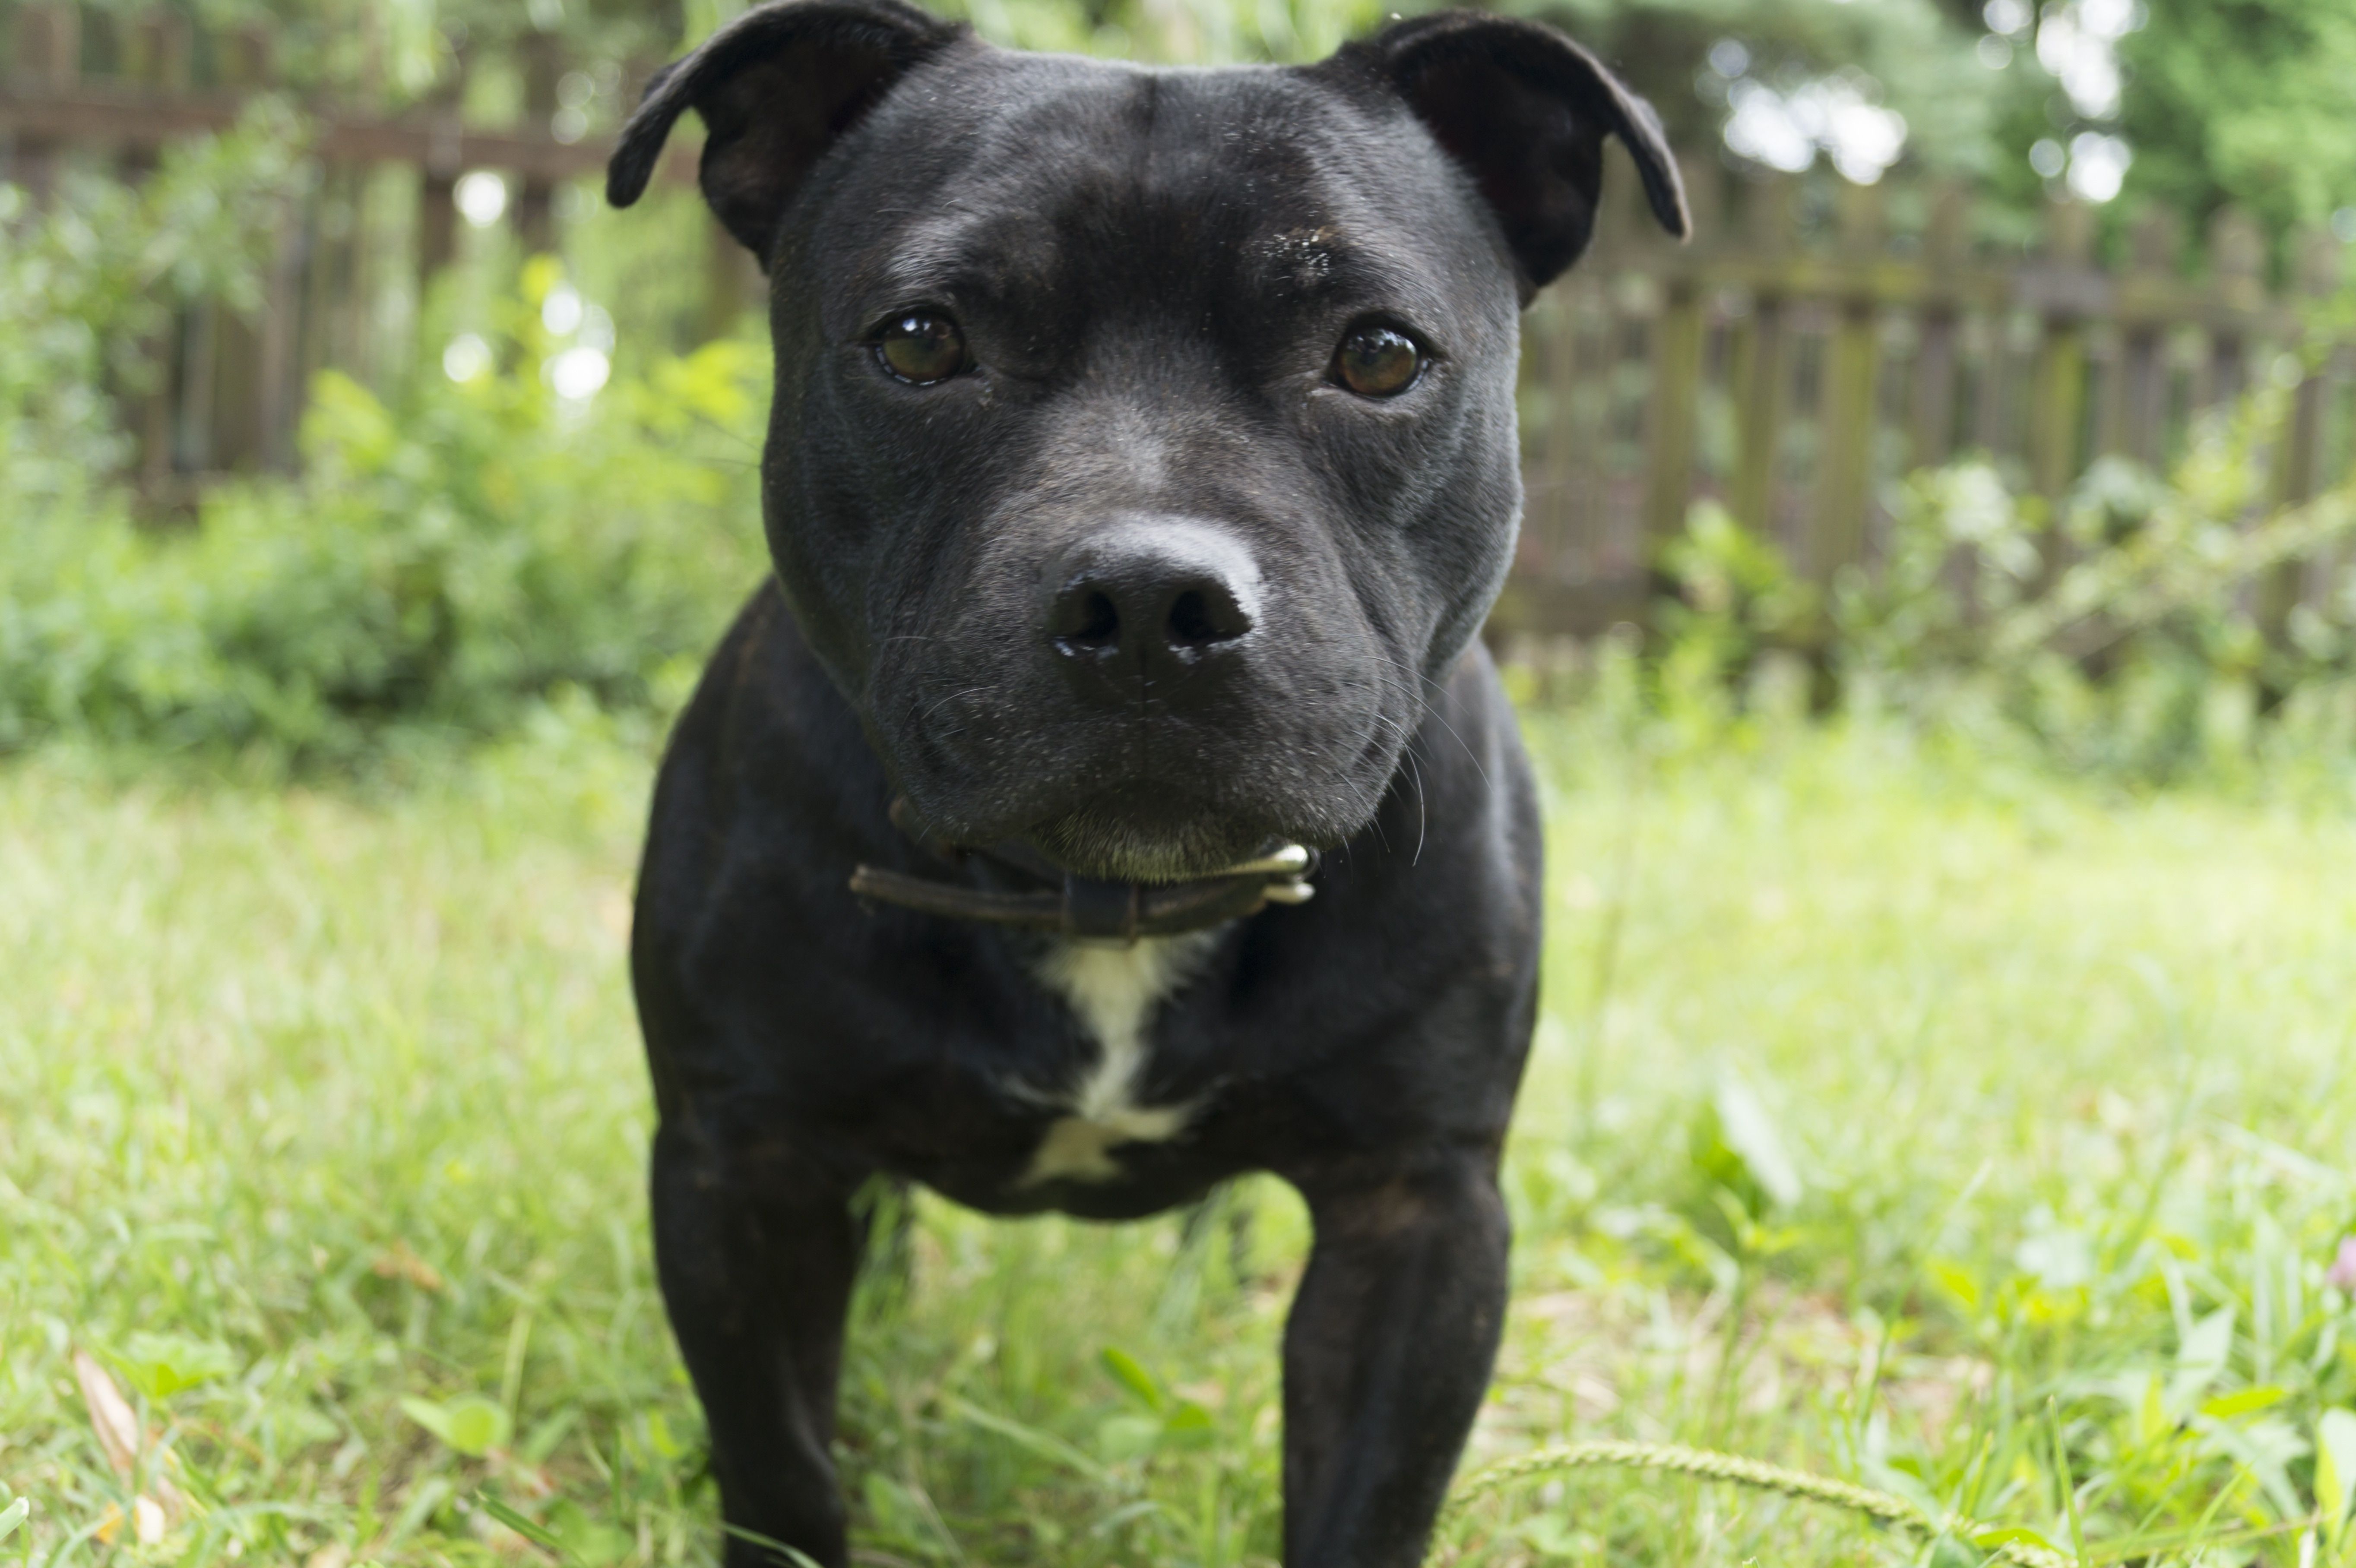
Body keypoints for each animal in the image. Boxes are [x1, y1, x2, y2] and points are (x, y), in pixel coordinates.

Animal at [603, 9, 1677, 1554]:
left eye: (1378, 355)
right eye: (920, 342)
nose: (1153, 600)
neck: (1101, 894)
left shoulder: (1421, 1210)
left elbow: (1367, 1504)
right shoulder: (738, 1167)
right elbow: (782, 1461)